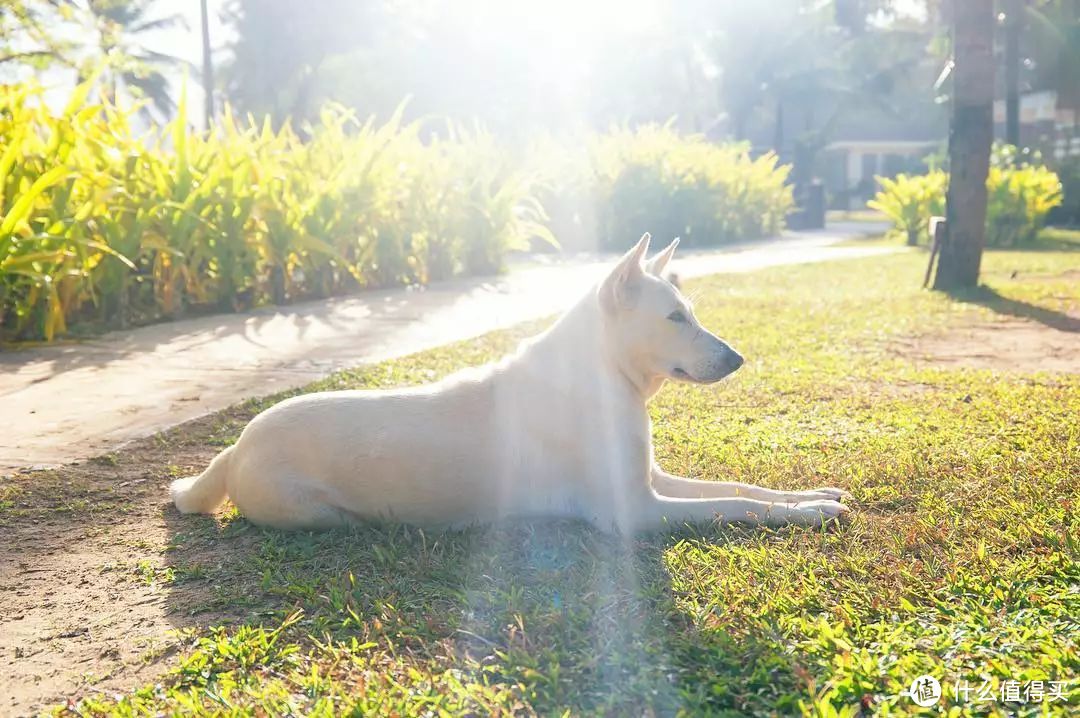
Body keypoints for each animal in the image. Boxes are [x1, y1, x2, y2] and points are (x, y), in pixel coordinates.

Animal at [172, 235, 851, 531]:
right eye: (674, 318)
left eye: (692, 312)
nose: (737, 359)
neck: (601, 376)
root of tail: (235, 446)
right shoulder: (634, 512)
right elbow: (734, 505)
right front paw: (810, 513)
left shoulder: (653, 482)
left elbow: (742, 487)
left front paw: (811, 495)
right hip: (317, 514)